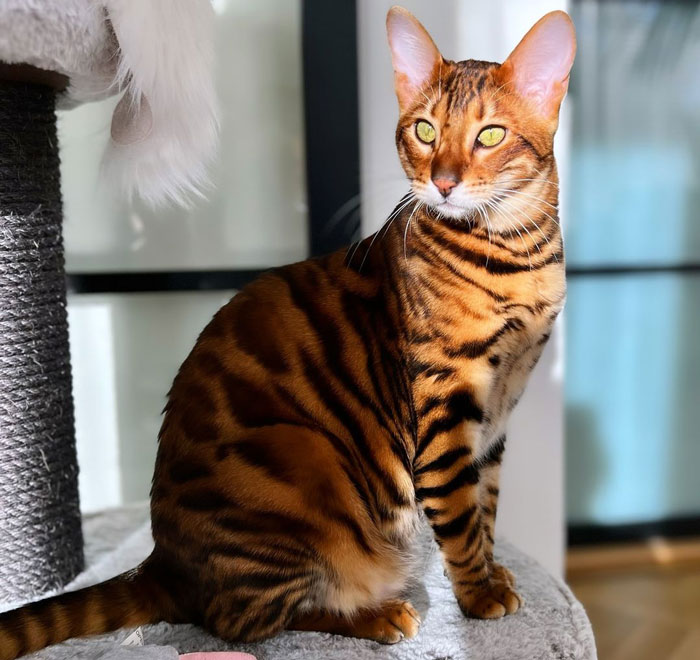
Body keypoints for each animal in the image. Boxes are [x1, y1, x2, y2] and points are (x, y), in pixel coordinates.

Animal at [0, 5, 576, 656]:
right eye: (426, 132)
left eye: (491, 135)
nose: (444, 182)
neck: (517, 253)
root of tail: (163, 562)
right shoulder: (446, 406)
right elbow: (459, 514)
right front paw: (479, 595)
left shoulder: (498, 412)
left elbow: (487, 505)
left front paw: (497, 571)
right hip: (303, 458)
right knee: (243, 620)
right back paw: (378, 615)